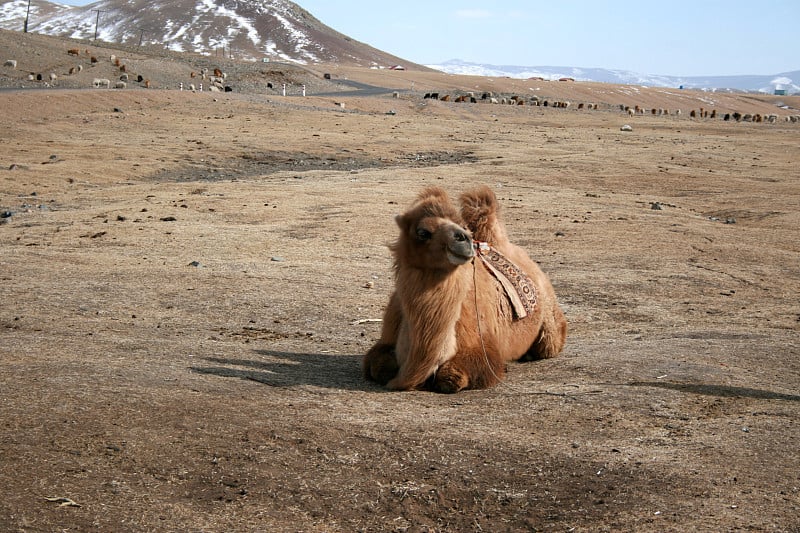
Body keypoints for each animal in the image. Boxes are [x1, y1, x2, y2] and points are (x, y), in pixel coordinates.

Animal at [366, 185, 564, 392]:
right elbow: (378, 366)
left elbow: (452, 377)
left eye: (462, 226)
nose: (464, 238)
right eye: (423, 232)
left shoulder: (482, 344)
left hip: (550, 321)